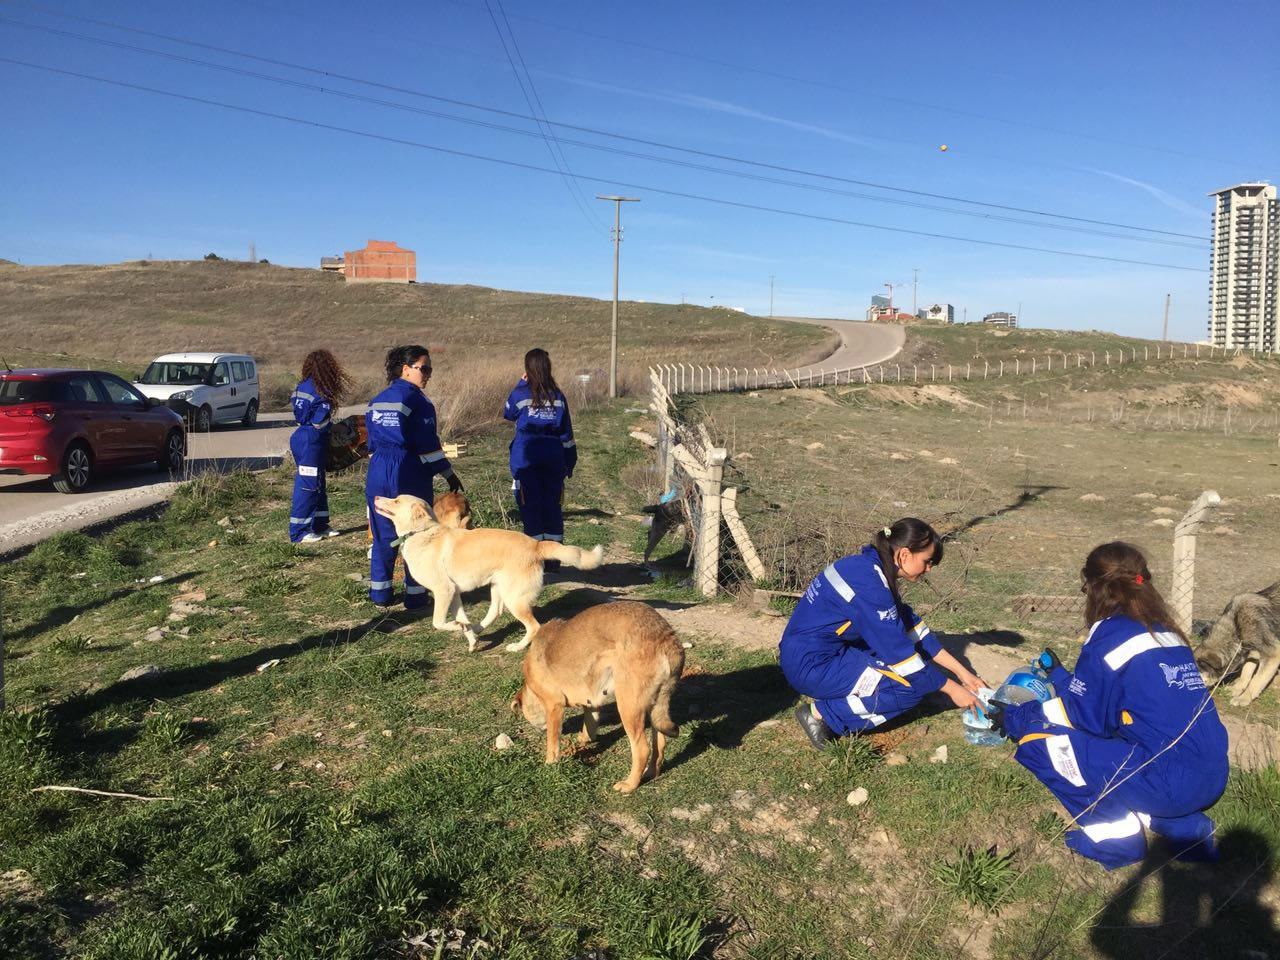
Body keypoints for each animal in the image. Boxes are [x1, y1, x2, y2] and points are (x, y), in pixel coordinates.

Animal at [371, 496, 604, 655]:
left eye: (396, 500)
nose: (376, 497)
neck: (422, 533)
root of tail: (536, 544)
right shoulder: (454, 593)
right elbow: (461, 618)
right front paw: (470, 637)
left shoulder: (443, 591)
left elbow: (438, 622)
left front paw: (456, 627)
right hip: (499, 588)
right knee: (495, 612)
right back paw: (477, 628)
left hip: (514, 598)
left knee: (534, 626)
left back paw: (517, 646)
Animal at [514, 601, 686, 798]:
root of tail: (667, 638)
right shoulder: (592, 700)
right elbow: (589, 723)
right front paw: (584, 739)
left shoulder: (554, 707)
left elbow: (552, 742)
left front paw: (550, 763)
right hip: (654, 708)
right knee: (660, 743)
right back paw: (650, 773)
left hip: (628, 706)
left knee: (642, 749)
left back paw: (629, 784)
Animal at [1187, 583, 1280, 711]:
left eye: (1196, 673)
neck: (1236, 626)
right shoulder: (1251, 650)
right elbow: (1246, 670)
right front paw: (1237, 689)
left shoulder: (1273, 654)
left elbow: (1256, 680)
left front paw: (1244, 698)